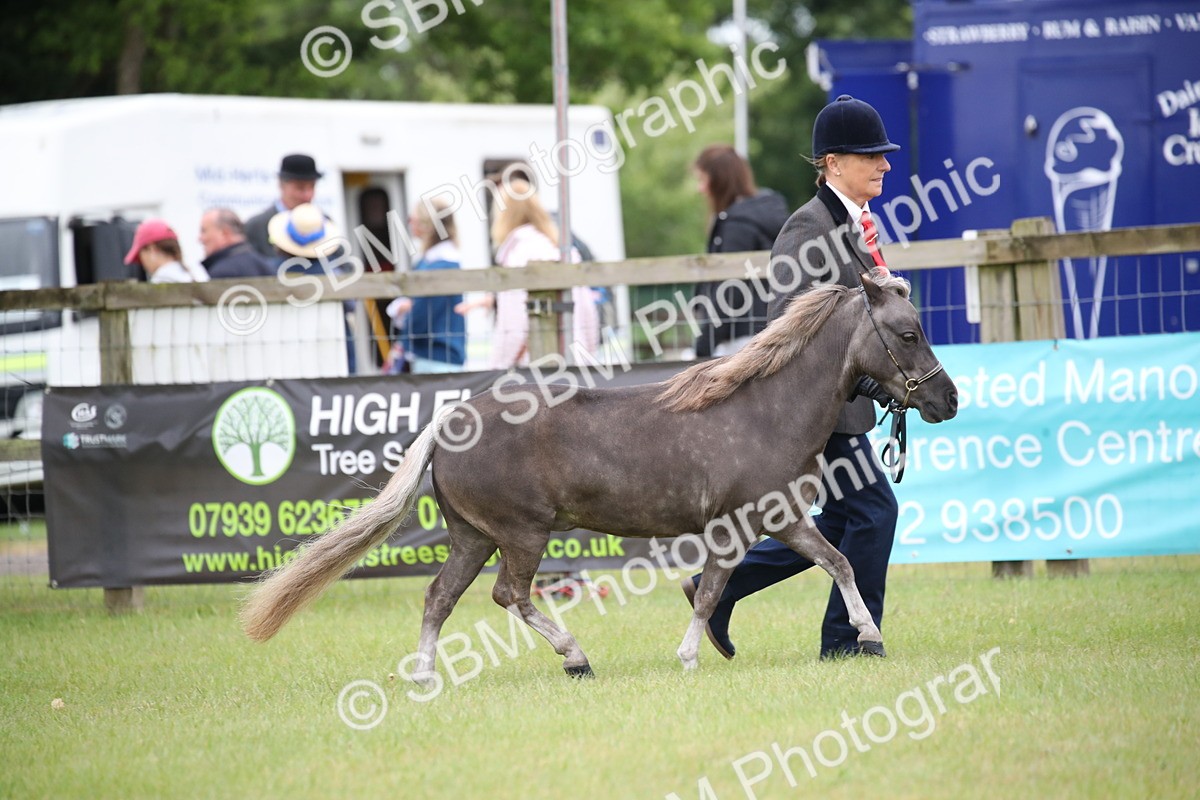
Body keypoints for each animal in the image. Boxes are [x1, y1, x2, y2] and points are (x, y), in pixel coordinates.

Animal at [241, 271, 958, 681]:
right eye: (908, 332)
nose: (947, 400)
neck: (764, 409)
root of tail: (451, 422)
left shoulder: (780, 518)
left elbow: (837, 562)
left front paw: (869, 636)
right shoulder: (735, 527)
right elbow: (710, 592)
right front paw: (690, 657)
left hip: (471, 536)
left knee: (438, 597)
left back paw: (424, 675)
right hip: (521, 535)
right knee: (509, 595)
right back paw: (575, 656)